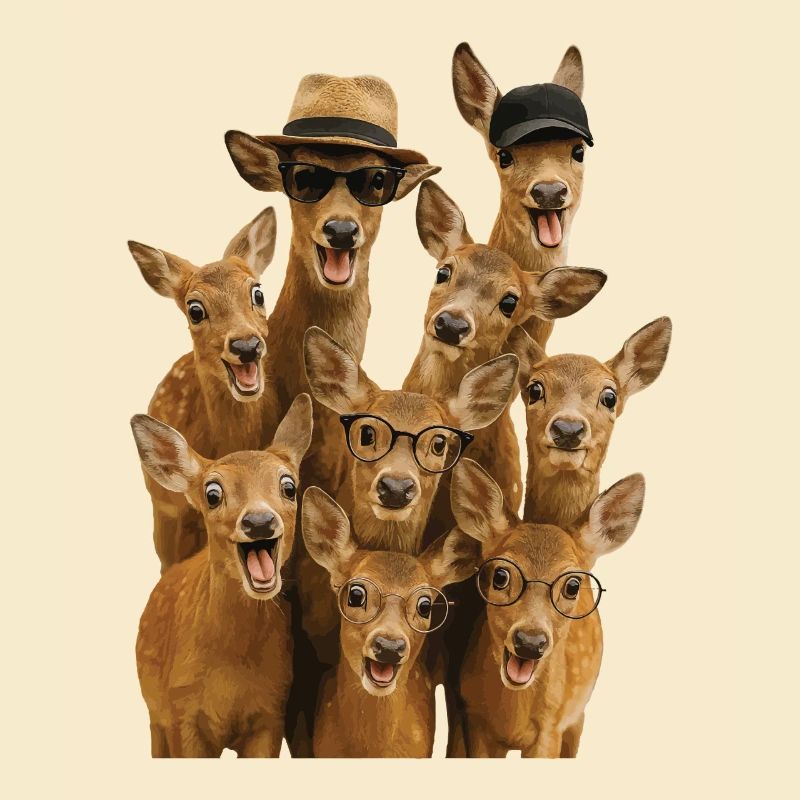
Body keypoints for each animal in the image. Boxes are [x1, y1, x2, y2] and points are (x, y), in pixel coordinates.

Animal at [130, 394, 313, 758]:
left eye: (289, 486)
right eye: (212, 493)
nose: (259, 521)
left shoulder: (270, 713)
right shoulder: (181, 714)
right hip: (155, 715)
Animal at [448, 459, 645, 758]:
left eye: (573, 585)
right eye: (500, 575)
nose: (530, 642)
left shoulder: (551, 727)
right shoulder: (475, 719)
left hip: (577, 717)